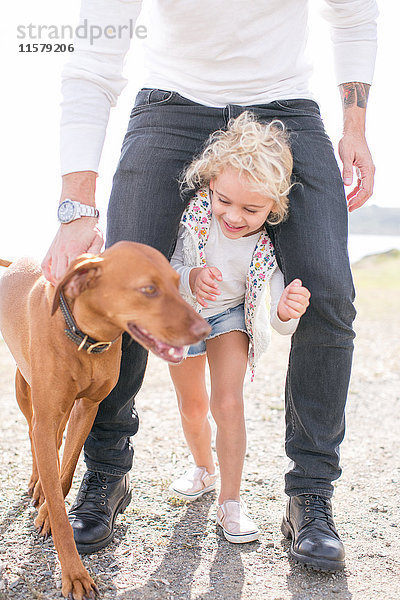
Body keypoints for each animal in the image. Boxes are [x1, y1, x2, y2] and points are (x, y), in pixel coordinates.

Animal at [0, 241, 211, 596]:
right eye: (149, 289)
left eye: (175, 283)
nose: (204, 330)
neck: (84, 337)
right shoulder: (47, 415)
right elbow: (58, 503)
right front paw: (73, 573)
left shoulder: (88, 408)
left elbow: (67, 470)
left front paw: (48, 508)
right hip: (25, 392)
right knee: (32, 435)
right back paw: (36, 481)